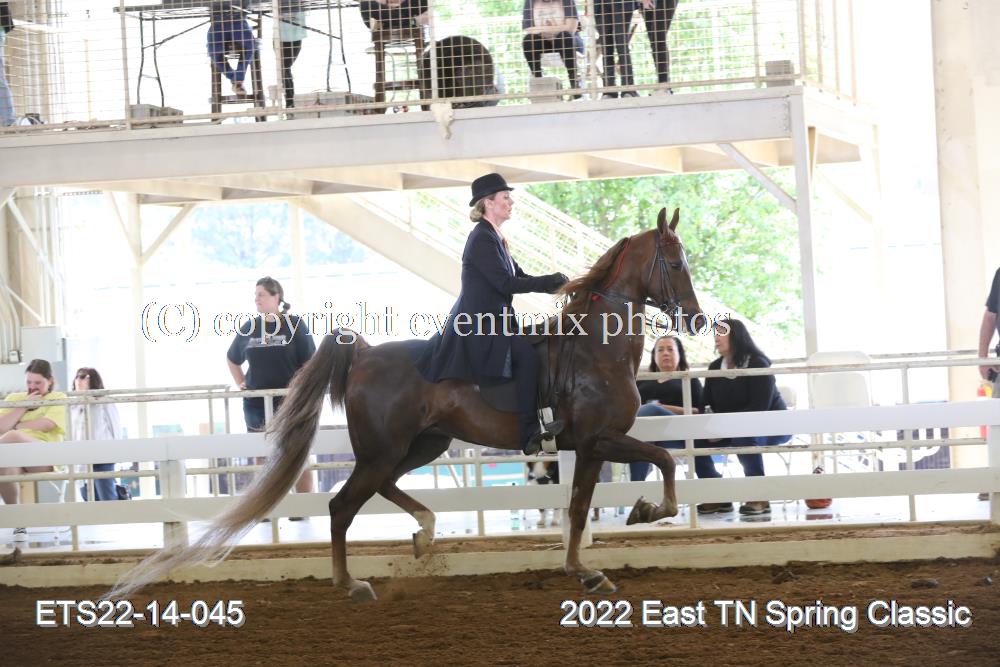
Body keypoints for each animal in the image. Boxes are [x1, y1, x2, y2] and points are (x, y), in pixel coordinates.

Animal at [107, 207, 703, 602]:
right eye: (674, 263)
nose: (696, 320)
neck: (597, 350)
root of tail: (366, 353)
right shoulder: (602, 439)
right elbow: (666, 461)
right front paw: (649, 512)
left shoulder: (590, 447)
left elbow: (580, 510)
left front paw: (587, 568)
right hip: (382, 450)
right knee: (341, 506)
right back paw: (351, 582)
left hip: (421, 444)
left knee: (384, 489)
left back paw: (423, 532)